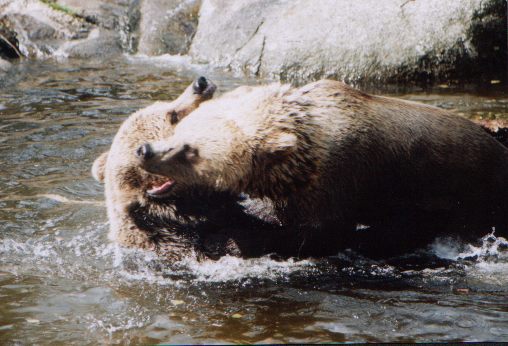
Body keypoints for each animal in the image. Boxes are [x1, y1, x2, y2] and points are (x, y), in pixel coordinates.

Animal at [138, 79, 508, 255]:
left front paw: (228, 238)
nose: (146, 150)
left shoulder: (339, 176)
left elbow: (318, 233)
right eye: (180, 128)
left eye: (190, 150)